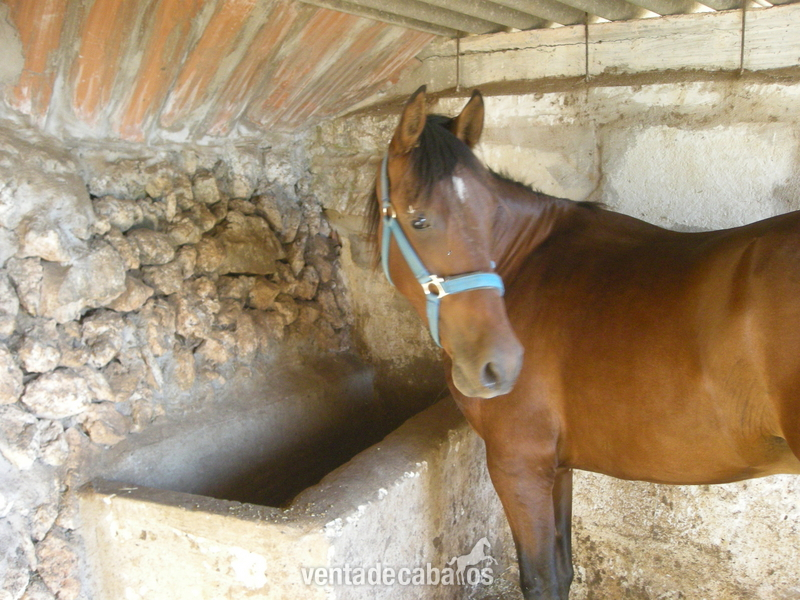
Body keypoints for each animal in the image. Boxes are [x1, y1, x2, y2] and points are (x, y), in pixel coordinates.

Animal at [372, 85, 800, 599]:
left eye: (491, 214)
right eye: (419, 221)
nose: (501, 365)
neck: (523, 265)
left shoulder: (518, 465)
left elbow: (542, 579)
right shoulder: (556, 467)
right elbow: (564, 569)